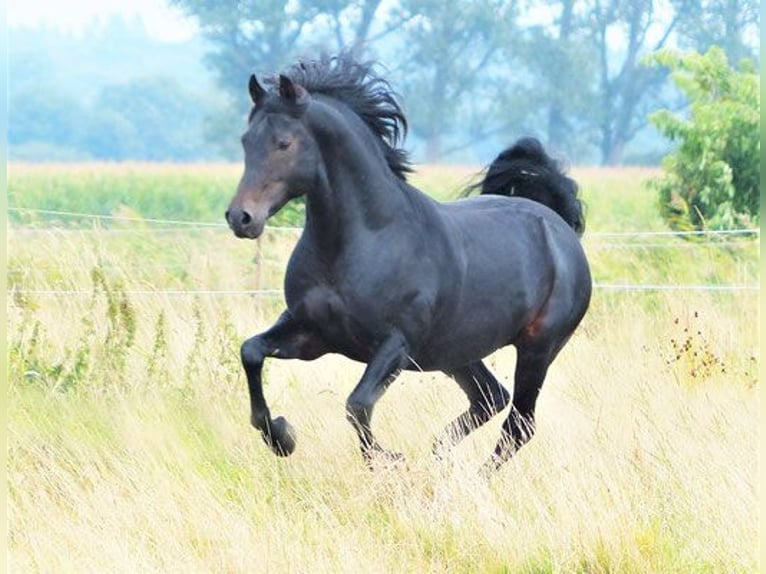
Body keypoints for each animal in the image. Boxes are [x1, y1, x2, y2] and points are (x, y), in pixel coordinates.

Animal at [225, 53, 592, 472]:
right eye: (246, 141)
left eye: (284, 143)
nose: (241, 217)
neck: (364, 239)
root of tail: (558, 226)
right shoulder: (311, 332)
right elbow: (251, 352)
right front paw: (282, 437)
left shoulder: (396, 344)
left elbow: (357, 404)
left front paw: (389, 461)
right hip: (458, 352)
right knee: (490, 399)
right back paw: (438, 461)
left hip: (537, 349)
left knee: (519, 425)